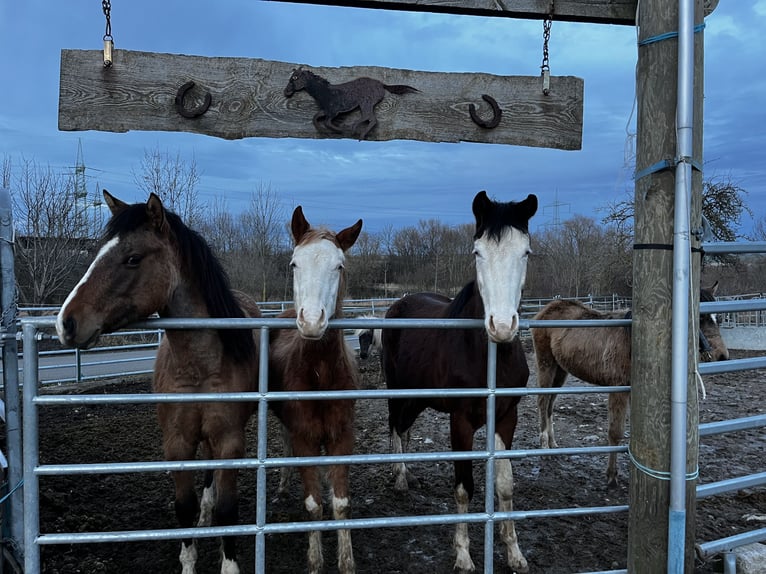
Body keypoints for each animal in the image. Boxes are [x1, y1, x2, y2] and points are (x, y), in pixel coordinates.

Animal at [55, 192, 260, 574]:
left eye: (133, 258)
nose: (66, 323)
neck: (198, 366)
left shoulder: (229, 441)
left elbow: (228, 510)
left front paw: (228, 563)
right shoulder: (176, 443)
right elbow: (184, 507)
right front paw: (189, 559)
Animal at [268, 207, 364, 574]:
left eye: (339, 266)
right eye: (294, 263)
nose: (311, 321)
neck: (320, 375)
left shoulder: (341, 437)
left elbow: (340, 504)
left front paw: (346, 562)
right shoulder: (304, 438)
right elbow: (313, 505)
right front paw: (315, 561)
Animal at [284, 66, 420, 140]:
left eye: (295, 77)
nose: (286, 92)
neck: (325, 92)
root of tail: (382, 84)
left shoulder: (333, 112)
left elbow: (327, 122)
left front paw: (340, 130)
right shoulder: (326, 110)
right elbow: (315, 117)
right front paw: (321, 130)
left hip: (366, 102)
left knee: (369, 117)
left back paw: (354, 129)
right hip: (366, 103)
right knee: (371, 119)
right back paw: (359, 133)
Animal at [384, 191, 540, 572]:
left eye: (526, 252)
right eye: (477, 252)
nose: (502, 325)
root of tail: (398, 304)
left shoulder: (507, 417)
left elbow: (505, 485)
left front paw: (514, 553)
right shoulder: (461, 422)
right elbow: (464, 487)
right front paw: (464, 556)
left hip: (420, 396)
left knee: (405, 427)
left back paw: (408, 474)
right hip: (398, 388)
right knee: (394, 424)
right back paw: (399, 476)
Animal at [536, 282, 732, 488]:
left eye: (718, 318)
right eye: (700, 317)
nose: (721, 355)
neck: (631, 341)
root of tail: (547, 310)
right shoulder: (618, 389)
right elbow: (615, 433)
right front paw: (611, 476)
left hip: (561, 370)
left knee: (550, 404)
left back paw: (552, 443)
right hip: (546, 364)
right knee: (542, 401)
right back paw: (544, 445)